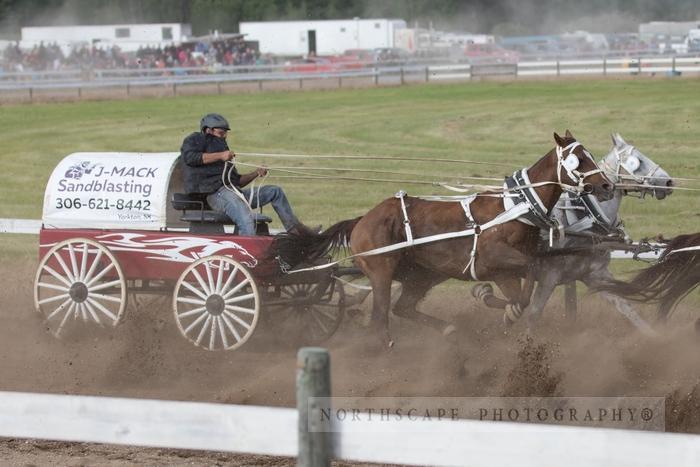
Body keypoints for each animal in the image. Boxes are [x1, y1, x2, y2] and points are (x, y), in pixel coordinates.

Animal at [274, 132, 612, 348]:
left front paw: (503, 309)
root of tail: (362, 220)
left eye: (590, 155)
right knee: (381, 317)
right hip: (381, 271)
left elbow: (522, 293)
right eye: (578, 159)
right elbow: (528, 271)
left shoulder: (504, 272)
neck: (515, 207)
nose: (607, 185)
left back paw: (449, 330)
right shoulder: (496, 260)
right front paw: (500, 306)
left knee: (402, 308)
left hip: (422, 274)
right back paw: (386, 345)